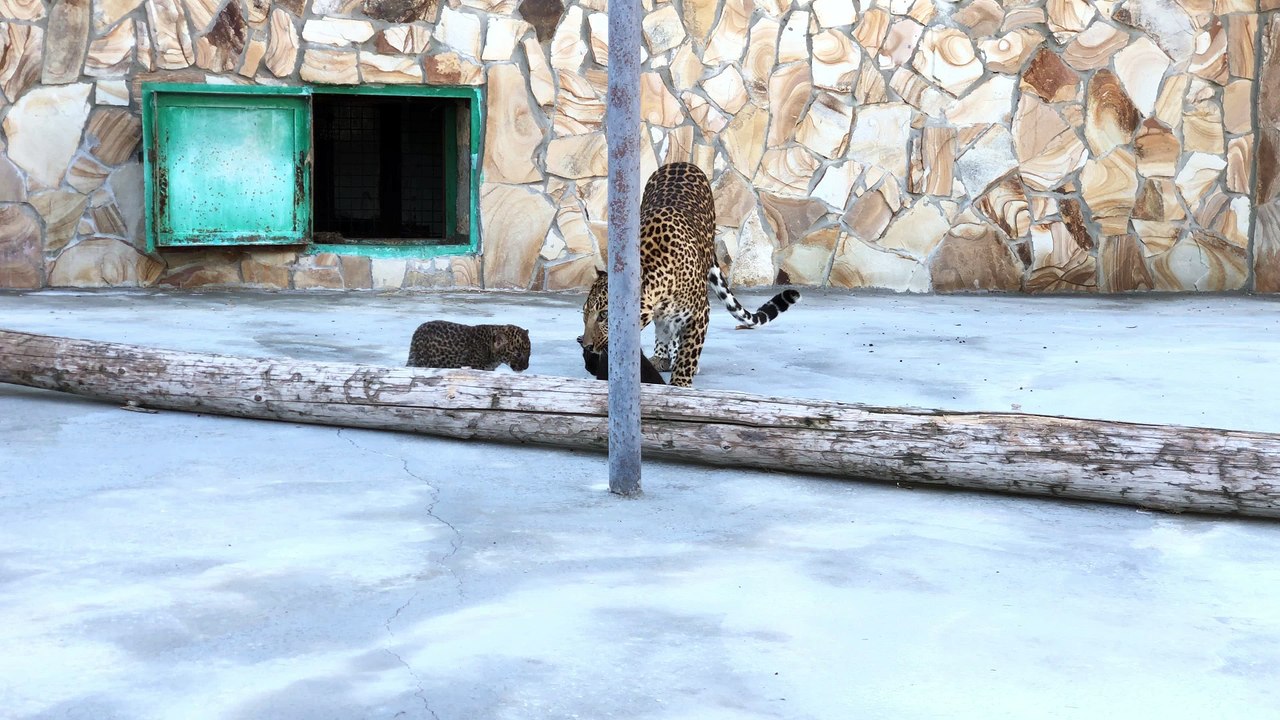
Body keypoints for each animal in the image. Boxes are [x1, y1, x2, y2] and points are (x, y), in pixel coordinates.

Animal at [578, 162, 800, 387]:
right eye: (584, 313)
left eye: (604, 315)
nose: (586, 345)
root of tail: (679, 163)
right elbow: (665, 330)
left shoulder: (700, 313)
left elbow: (688, 354)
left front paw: (680, 383)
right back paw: (661, 355)